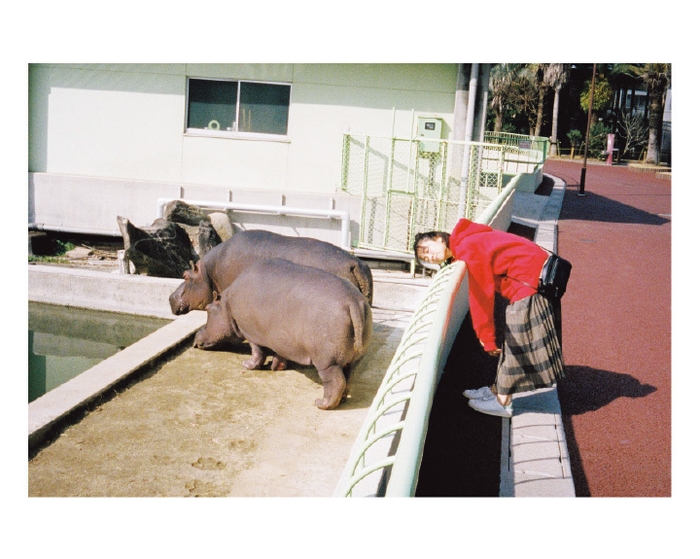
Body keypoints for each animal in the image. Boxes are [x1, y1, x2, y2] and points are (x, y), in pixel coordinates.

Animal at [194, 260, 374, 412]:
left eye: (208, 309)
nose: (197, 335)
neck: (226, 304)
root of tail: (353, 302)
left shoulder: (251, 333)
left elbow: (257, 352)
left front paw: (247, 365)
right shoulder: (282, 339)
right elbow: (280, 353)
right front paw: (277, 367)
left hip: (328, 362)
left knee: (336, 382)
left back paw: (321, 404)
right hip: (355, 359)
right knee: (348, 378)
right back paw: (341, 400)